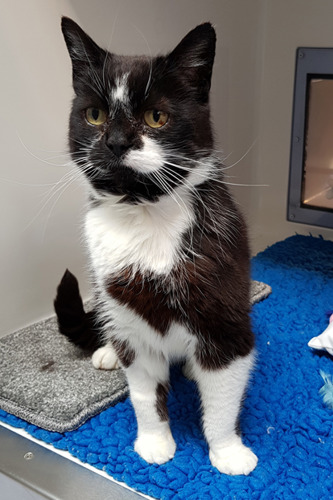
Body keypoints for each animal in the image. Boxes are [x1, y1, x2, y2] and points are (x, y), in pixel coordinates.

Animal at [54, 16, 256, 476]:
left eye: (156, 116)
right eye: (94, 115)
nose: (115, 142)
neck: (145, 215)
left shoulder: (226, 316)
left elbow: (223, 396)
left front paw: (227, 451)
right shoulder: (130, 322)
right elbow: (145, 394)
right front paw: (154, 442)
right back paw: (107, 351)